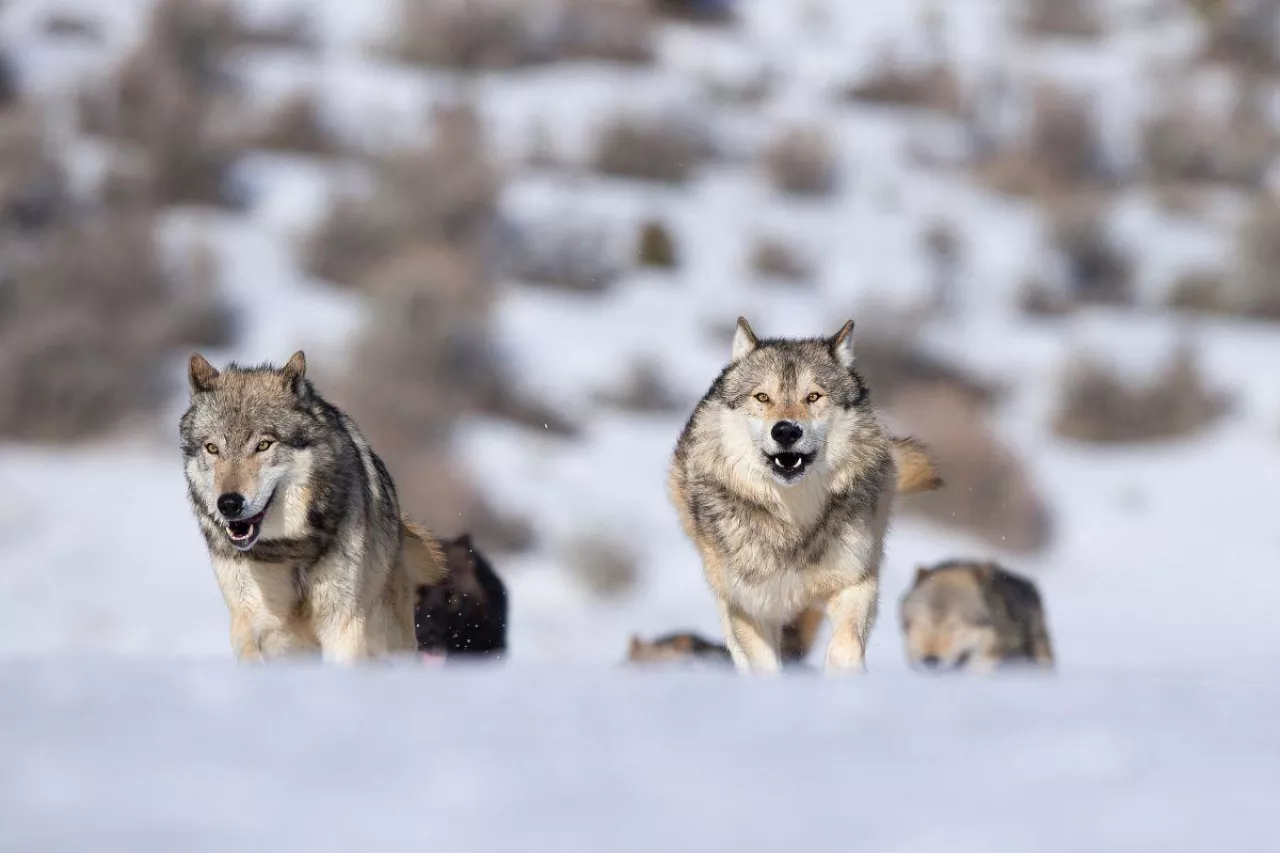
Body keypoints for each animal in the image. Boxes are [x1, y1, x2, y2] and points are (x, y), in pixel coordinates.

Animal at [181, 348, 445, 660]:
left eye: (263, 445)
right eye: (212, 448)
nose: (229, 504)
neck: (287, 550)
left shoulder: (343, 625)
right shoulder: (250, 624)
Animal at [670, 315, 942, 676]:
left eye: (813, 396)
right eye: (762, 397)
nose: (786, 431)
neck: (793, 519)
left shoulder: (855, 582)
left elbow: (846, 645)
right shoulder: (750, 606)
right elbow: (766, 666)